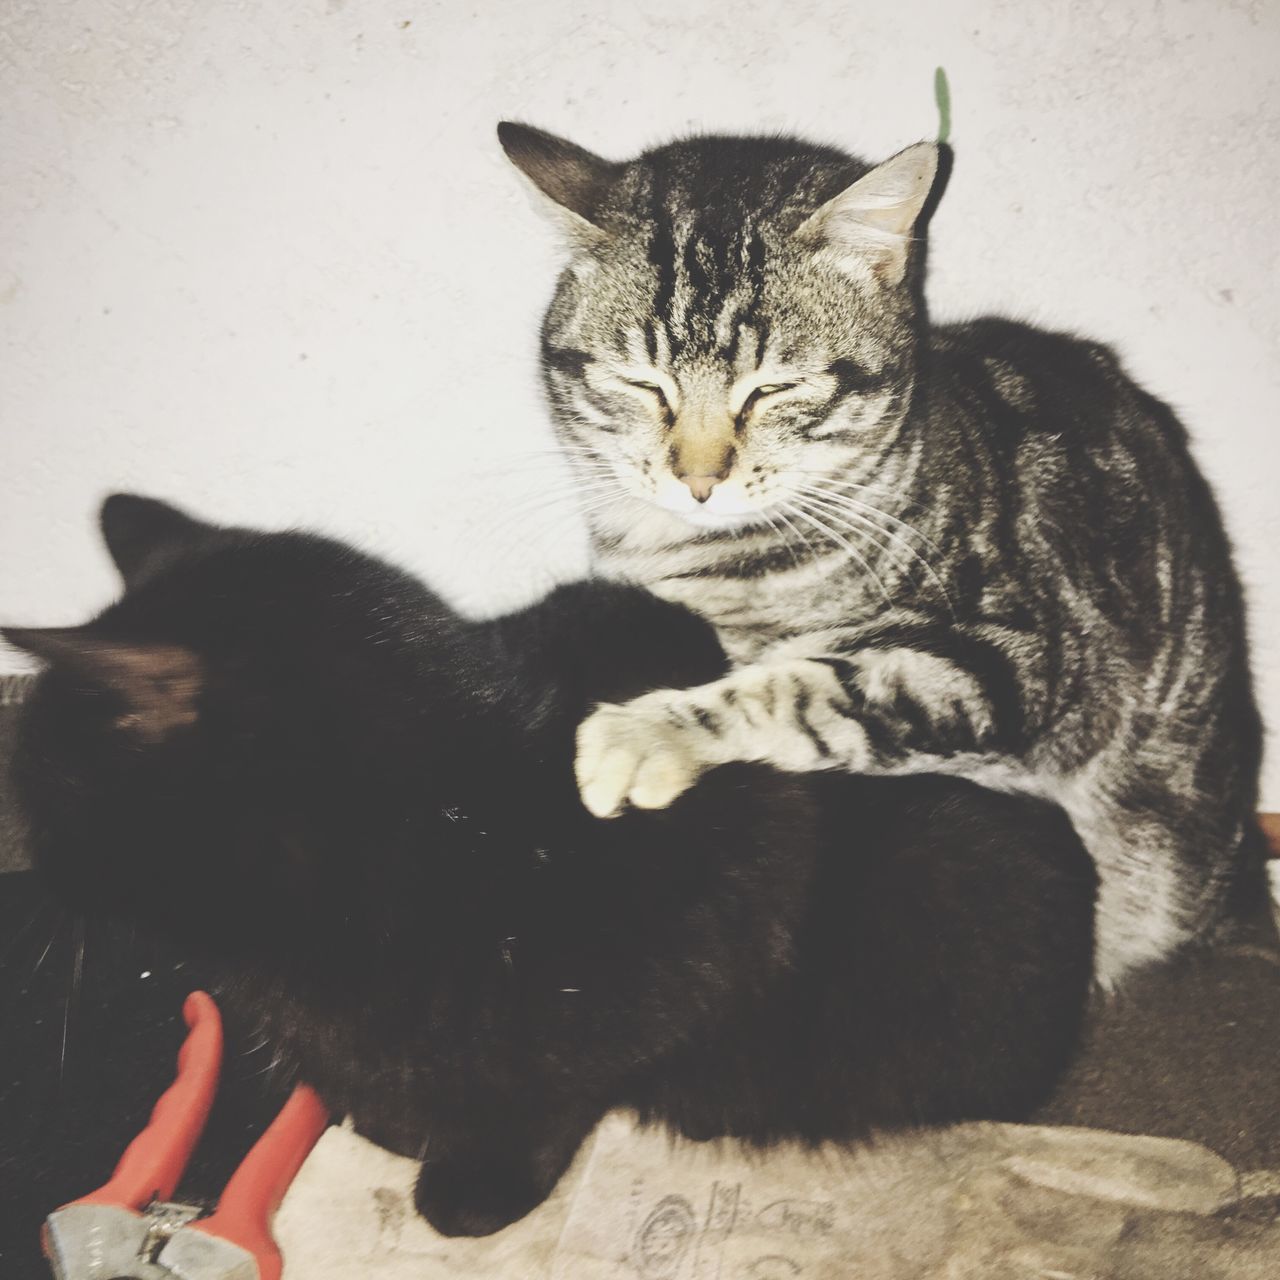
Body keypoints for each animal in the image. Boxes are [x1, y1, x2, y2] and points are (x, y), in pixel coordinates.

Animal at [496, 120, 1259, 983]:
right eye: (642, 383)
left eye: (773, 388)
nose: (698, 479)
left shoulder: (1013, 660)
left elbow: (800, 687)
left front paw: (647, 732)